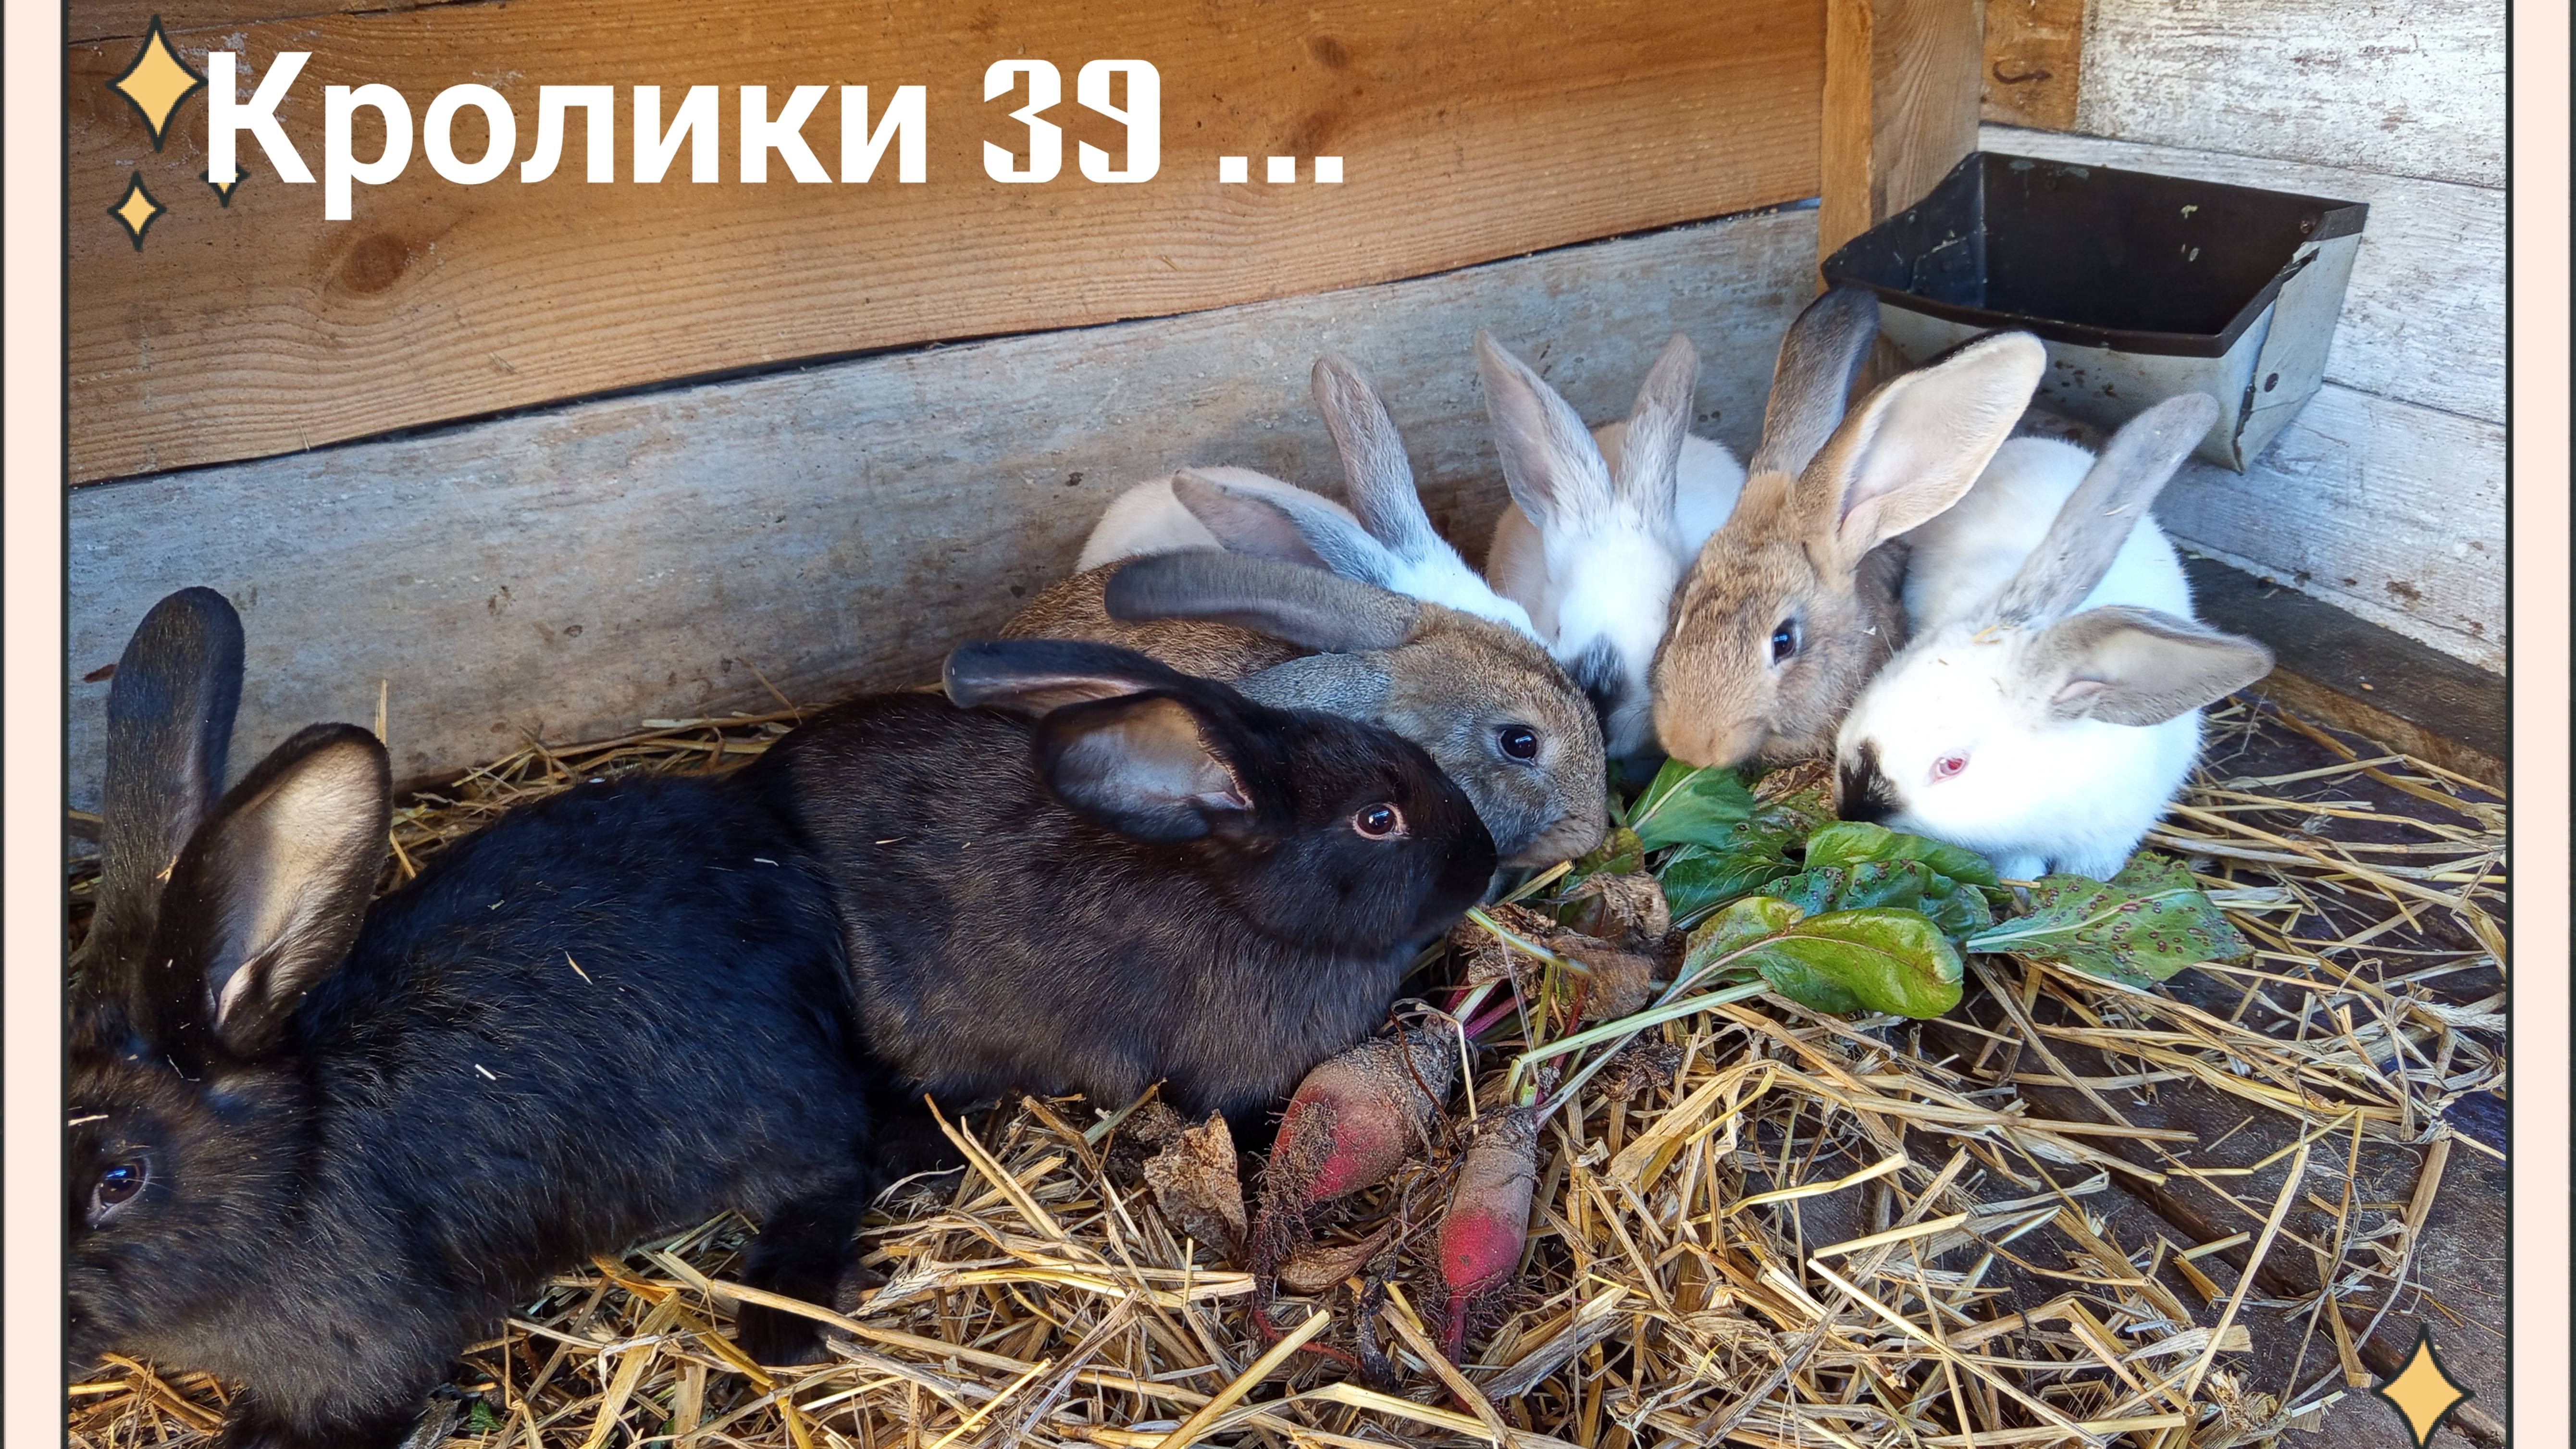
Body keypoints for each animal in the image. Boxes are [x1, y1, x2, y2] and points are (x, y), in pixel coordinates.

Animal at [68, 588, 886, 1449]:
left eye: (121, 1178)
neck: (289, 1173)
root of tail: (782, 865)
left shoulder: (368, 1353)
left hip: (759, 1112)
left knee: (834, 1160)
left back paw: (783, 1314)